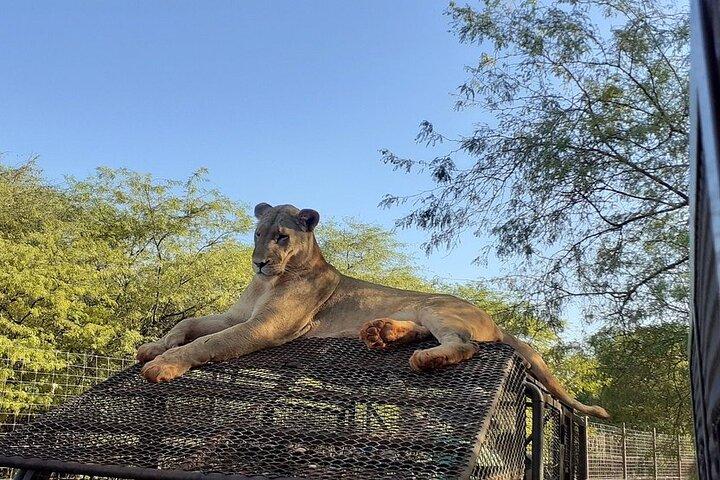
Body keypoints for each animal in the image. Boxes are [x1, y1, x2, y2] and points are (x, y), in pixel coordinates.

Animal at [136, 203, 609, 419]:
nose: (258, 261)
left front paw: (163, 365)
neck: (268, 281)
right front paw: (152, 347)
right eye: (257, 233)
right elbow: (190, 322)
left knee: (464, 345)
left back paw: (423, 357)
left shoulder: (264, 327)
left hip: (437, 308)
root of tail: (495, 320)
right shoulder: (238, 316)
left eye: (282, 236)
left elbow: (210, 342)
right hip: (424, 314)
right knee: (427, 333)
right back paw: (380, 333)